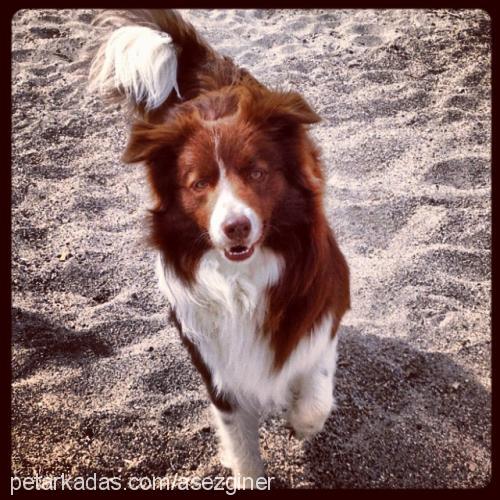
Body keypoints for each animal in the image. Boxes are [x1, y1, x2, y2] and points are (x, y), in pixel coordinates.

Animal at [89, 9, 348, 486]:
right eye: (199, 184)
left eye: (257, 172)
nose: (235, 227)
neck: (243, 281)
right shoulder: (216, 366)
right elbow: (242, 447)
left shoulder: (323, 308)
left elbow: (316, 387)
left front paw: (301, 422)